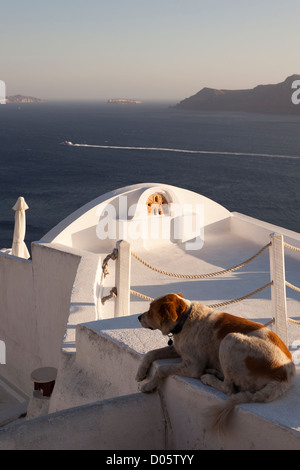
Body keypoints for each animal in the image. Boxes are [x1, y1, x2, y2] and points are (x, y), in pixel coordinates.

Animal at [137, 294, 296, 434]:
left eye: (150, 310)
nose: (138, 317)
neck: (185, 319)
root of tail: (285, 378)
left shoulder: (193, 367)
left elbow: (162, 369)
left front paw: (149, 385)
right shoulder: (177, 349)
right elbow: (151, 353)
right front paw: (140, 373)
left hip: (229, 339)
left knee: (229, 388)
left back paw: (209, 378)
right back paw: (213, 372)